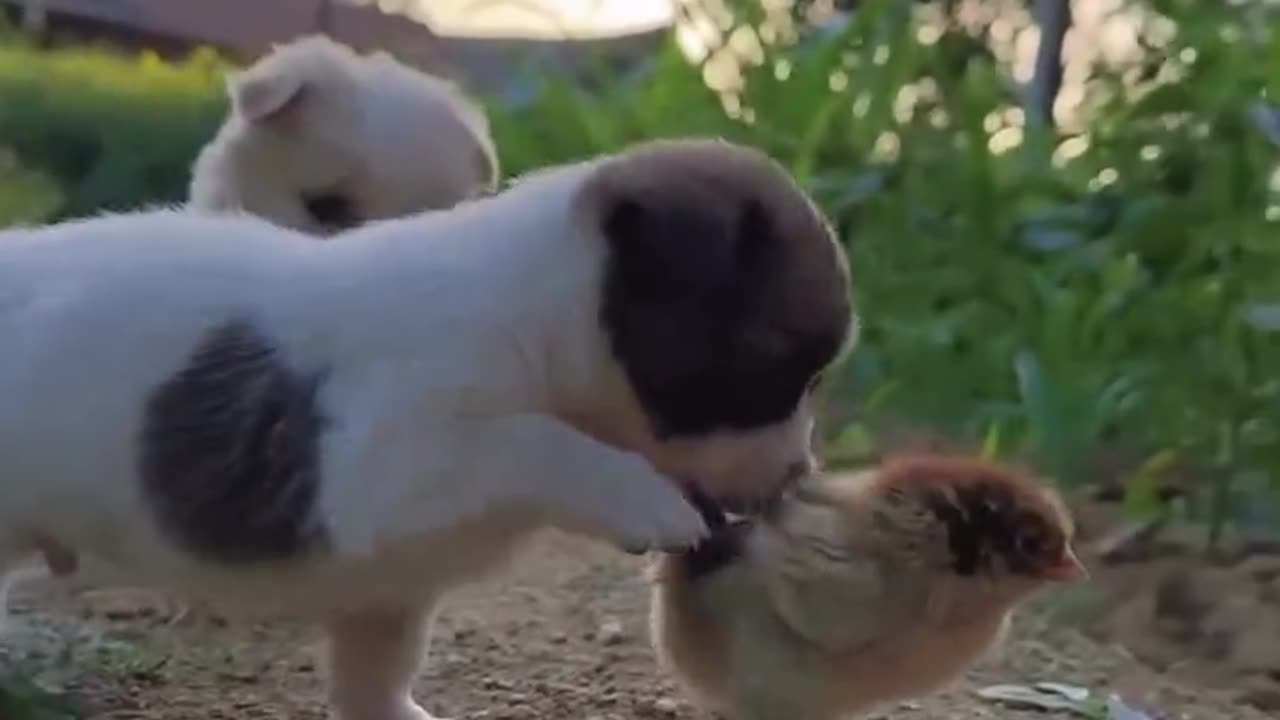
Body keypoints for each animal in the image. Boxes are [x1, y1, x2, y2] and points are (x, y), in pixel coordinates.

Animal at [2, 135, 860, 717]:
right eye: (781, 371)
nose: (799, 477)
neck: (533, 318)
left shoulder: (389, 588)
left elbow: (375, 672)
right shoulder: (383, 461)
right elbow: (527, 440)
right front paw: (638, 497)